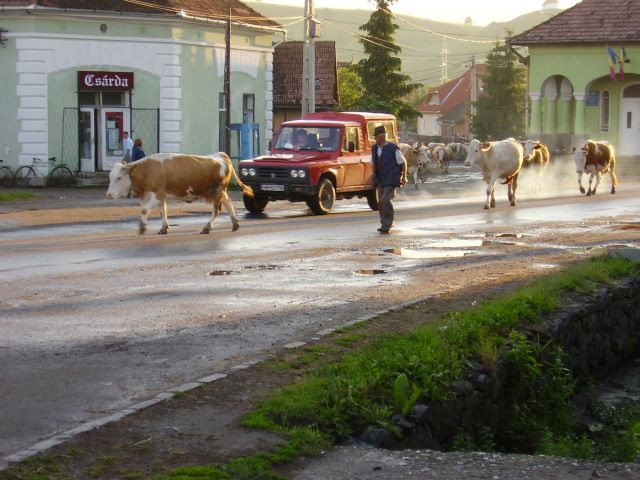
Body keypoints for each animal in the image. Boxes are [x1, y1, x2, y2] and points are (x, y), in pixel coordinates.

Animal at [106, 152, 254, 234]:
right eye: (110, 177)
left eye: (119, 178)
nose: (108, 194)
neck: (146, 171)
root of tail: (220, 155)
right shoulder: (160, 196)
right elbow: (162, 212)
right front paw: (164, 228)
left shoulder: (157, 195)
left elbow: (145, 210)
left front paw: (142, 228)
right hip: (221, 192)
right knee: (228, 203)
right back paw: (235, 224)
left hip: (216, 193)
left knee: (216, 211)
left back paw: (207, 228)